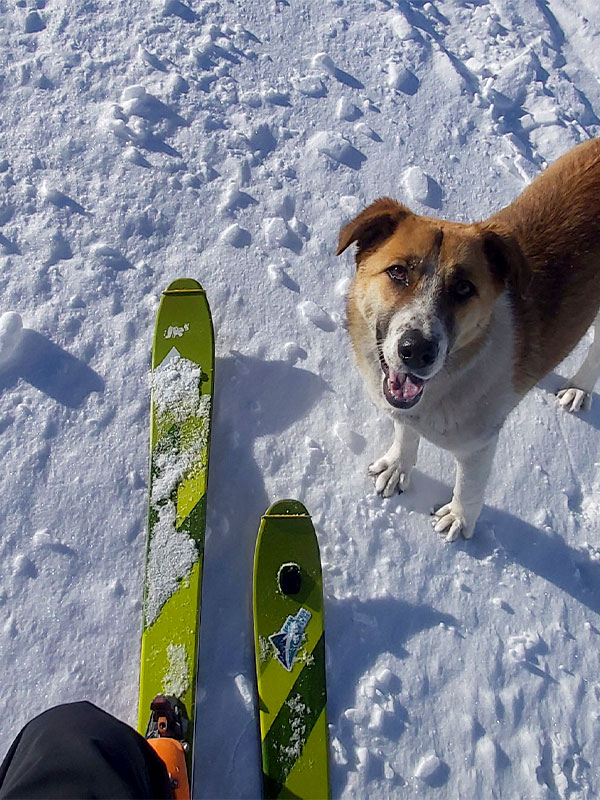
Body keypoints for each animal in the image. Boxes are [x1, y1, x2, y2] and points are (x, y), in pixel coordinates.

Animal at [338, 139, 600, 544]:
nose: (416, 351)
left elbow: (470, 487)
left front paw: (459, 520)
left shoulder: (479, 445)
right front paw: (398, 466)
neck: (451, 377)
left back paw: (579, 388)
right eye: (397, 272)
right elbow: (405, 431)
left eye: (463, 288)